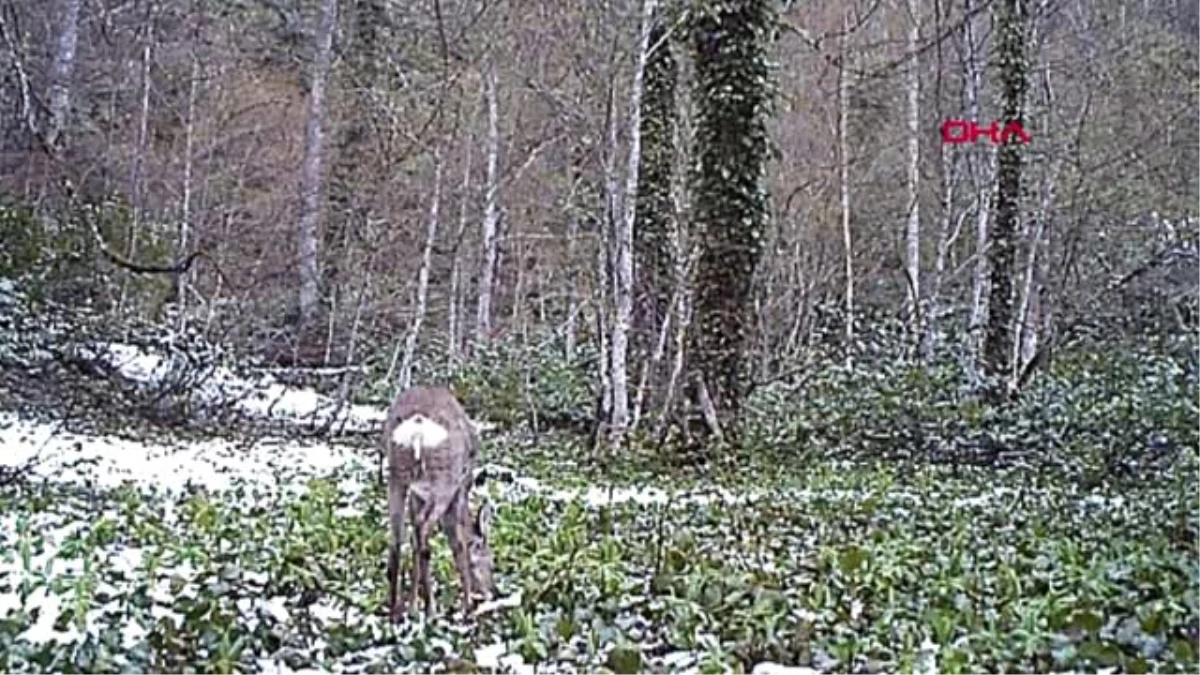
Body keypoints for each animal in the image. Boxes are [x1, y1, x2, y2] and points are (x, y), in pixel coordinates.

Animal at [384, 384, 496, 619]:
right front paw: (467, 606)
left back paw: (395, 610)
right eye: (491, 559)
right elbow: (459, 542)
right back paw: (431, 609)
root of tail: (418, 428)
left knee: (398, 538)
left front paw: (412, 607)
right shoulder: (459, 489)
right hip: (444, 481)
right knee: (423, 531)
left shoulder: (418, 495)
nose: (493, 591)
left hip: (397, 477)